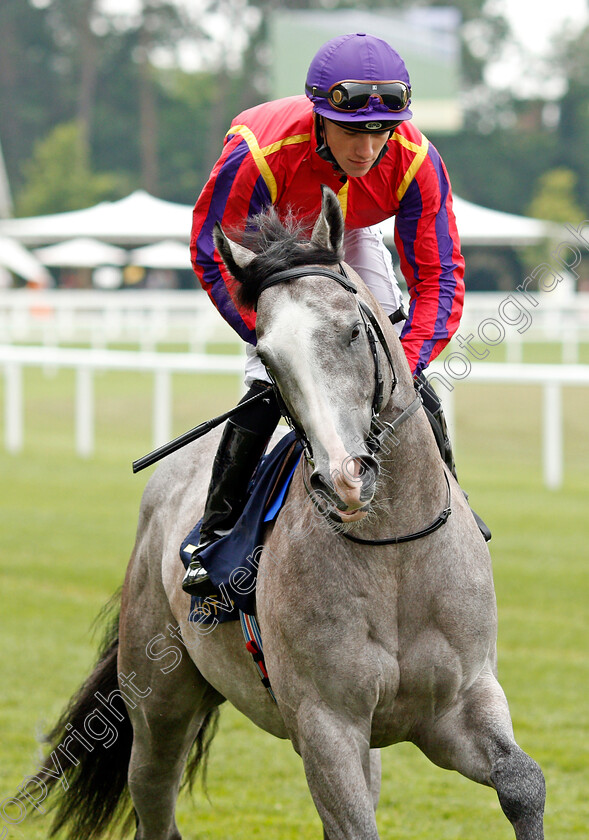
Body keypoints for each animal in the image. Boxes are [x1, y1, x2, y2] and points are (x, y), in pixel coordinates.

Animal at [38, 187, 544, 836]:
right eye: (269, 357)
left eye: (354, 330)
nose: (344, 478)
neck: (394, 555)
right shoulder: (326, 724)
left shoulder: (459, 703)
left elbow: (523, 783)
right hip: (158, 702)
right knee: (154, 799)